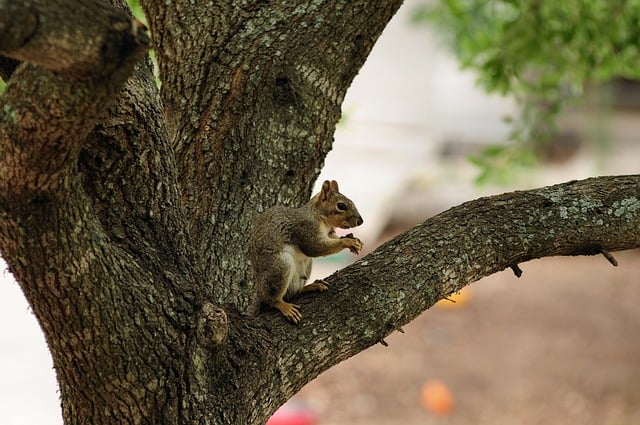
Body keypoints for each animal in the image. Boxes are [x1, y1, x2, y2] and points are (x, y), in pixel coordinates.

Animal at [249, 180, 364, 323]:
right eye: (341, 206)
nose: (361, 221)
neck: (318, 215)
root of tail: (259, 290)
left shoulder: (329, 233)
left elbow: (332, 238)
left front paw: (353, 240)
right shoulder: (306, 229)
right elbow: (314, 247)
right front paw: (348, 242)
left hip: (306, 265)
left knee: (294, 293)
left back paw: (312, 286)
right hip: (280, 265)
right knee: (271, 299)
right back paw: (284, 306)